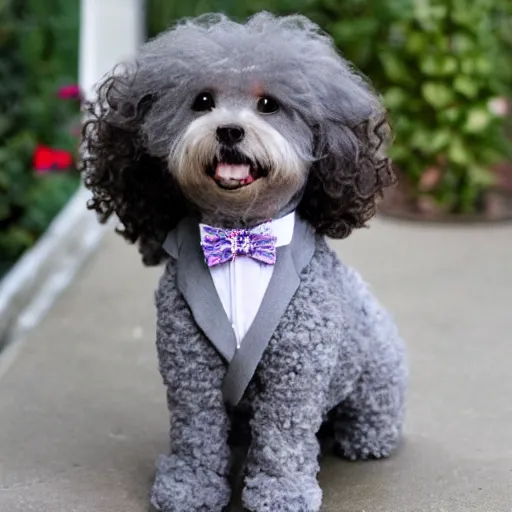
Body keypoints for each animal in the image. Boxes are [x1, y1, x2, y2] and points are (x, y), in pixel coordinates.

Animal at [81, 12, 408, 512]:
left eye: (269, 104)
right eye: (202, 101)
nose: (230, 130)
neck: (241, 235)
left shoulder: (296, 372)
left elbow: (283, 439)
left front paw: (282, 493)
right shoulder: (188, 367)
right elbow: (195, 433)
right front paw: (190, 487)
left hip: (377, 369)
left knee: (373, 408)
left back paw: (365, 437)